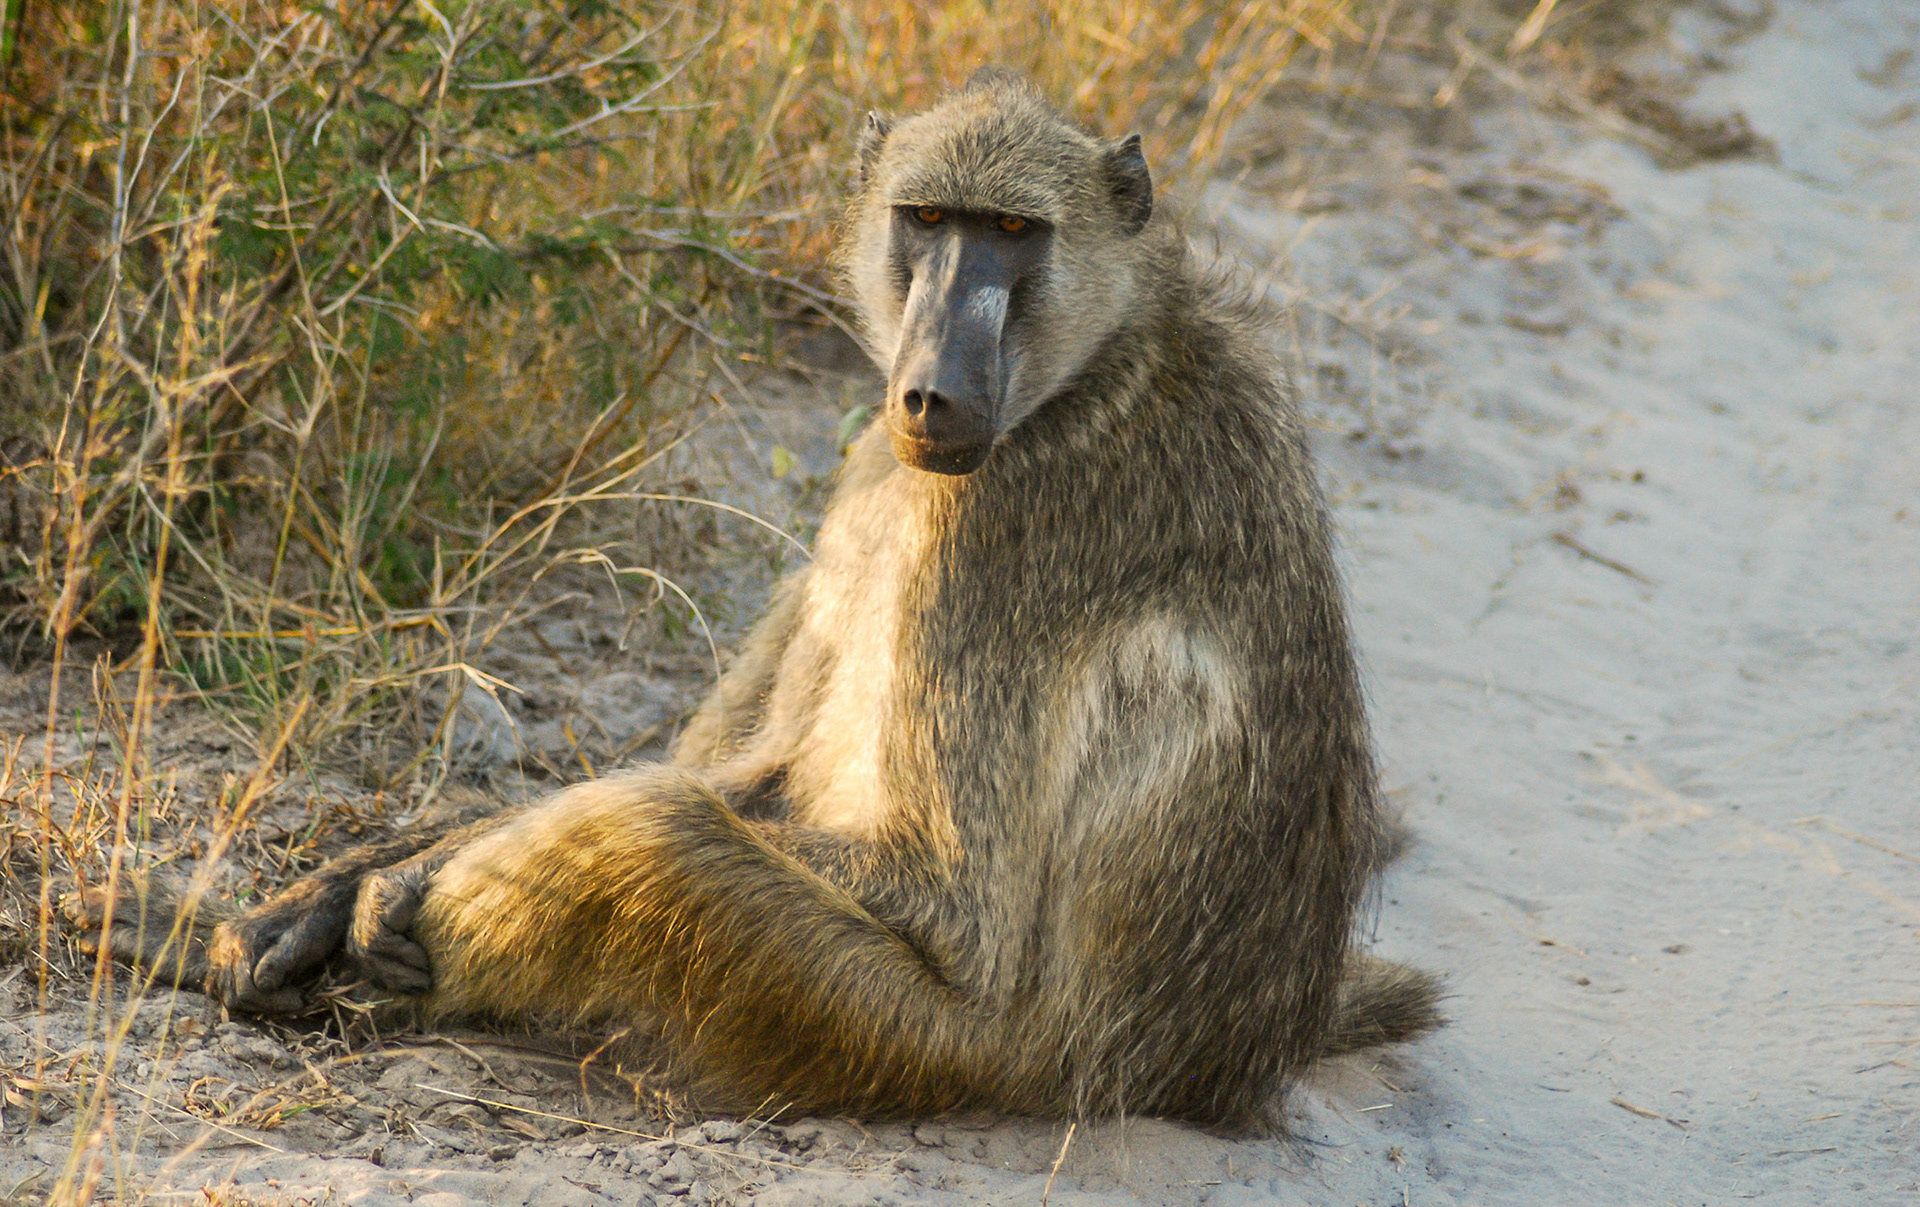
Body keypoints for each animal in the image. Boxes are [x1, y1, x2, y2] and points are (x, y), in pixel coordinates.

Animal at [69, 73, 1440, 1131]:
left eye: (1014, 232)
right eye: (927, 220)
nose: (931, 391)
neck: (1105, 360)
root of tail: (1208, 1063)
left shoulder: (996, 537)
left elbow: (943, 895)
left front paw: (393, 888)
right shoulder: (885, 471)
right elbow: (740, 764)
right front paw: (333, 885)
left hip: (933, 1045)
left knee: (653, 837)